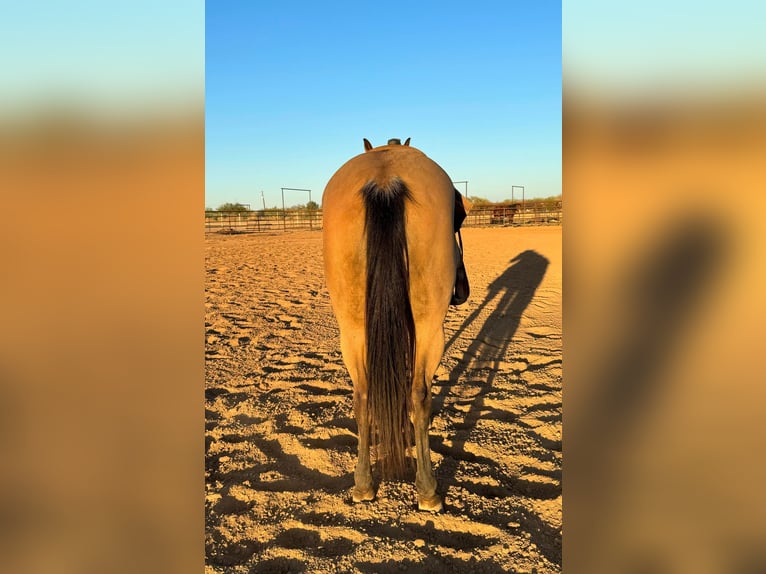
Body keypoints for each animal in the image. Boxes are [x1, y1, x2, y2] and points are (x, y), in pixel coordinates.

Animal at [322, 138, 468, 512]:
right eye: (460, 216)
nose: (462, 290)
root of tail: (385, 180)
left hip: (352, 331)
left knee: (362, 397)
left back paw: (363, 485)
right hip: (431, 329)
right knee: (419, 395)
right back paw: (428, 490)